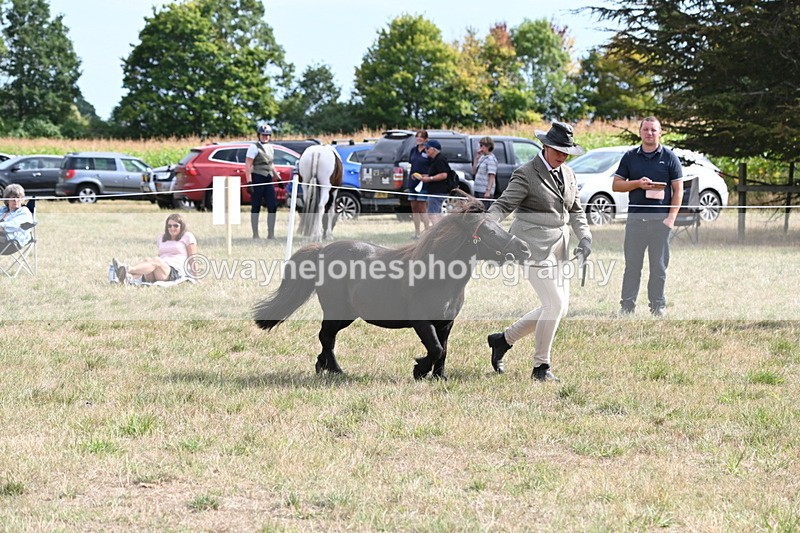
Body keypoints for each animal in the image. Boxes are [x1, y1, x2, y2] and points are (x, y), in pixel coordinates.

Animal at [253, 196, 531, 380]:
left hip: (346, 315)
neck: (437, 277)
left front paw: (439, 377)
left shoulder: (446, 323)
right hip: (336, 311)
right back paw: (336, 370)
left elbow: (443, 350)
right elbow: (435, 348)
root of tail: (322, 250)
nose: (524, 248)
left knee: (326, 339)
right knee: (326, 337)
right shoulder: (422, 322)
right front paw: (419, 370)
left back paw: (322, 367)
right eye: (489, 232)